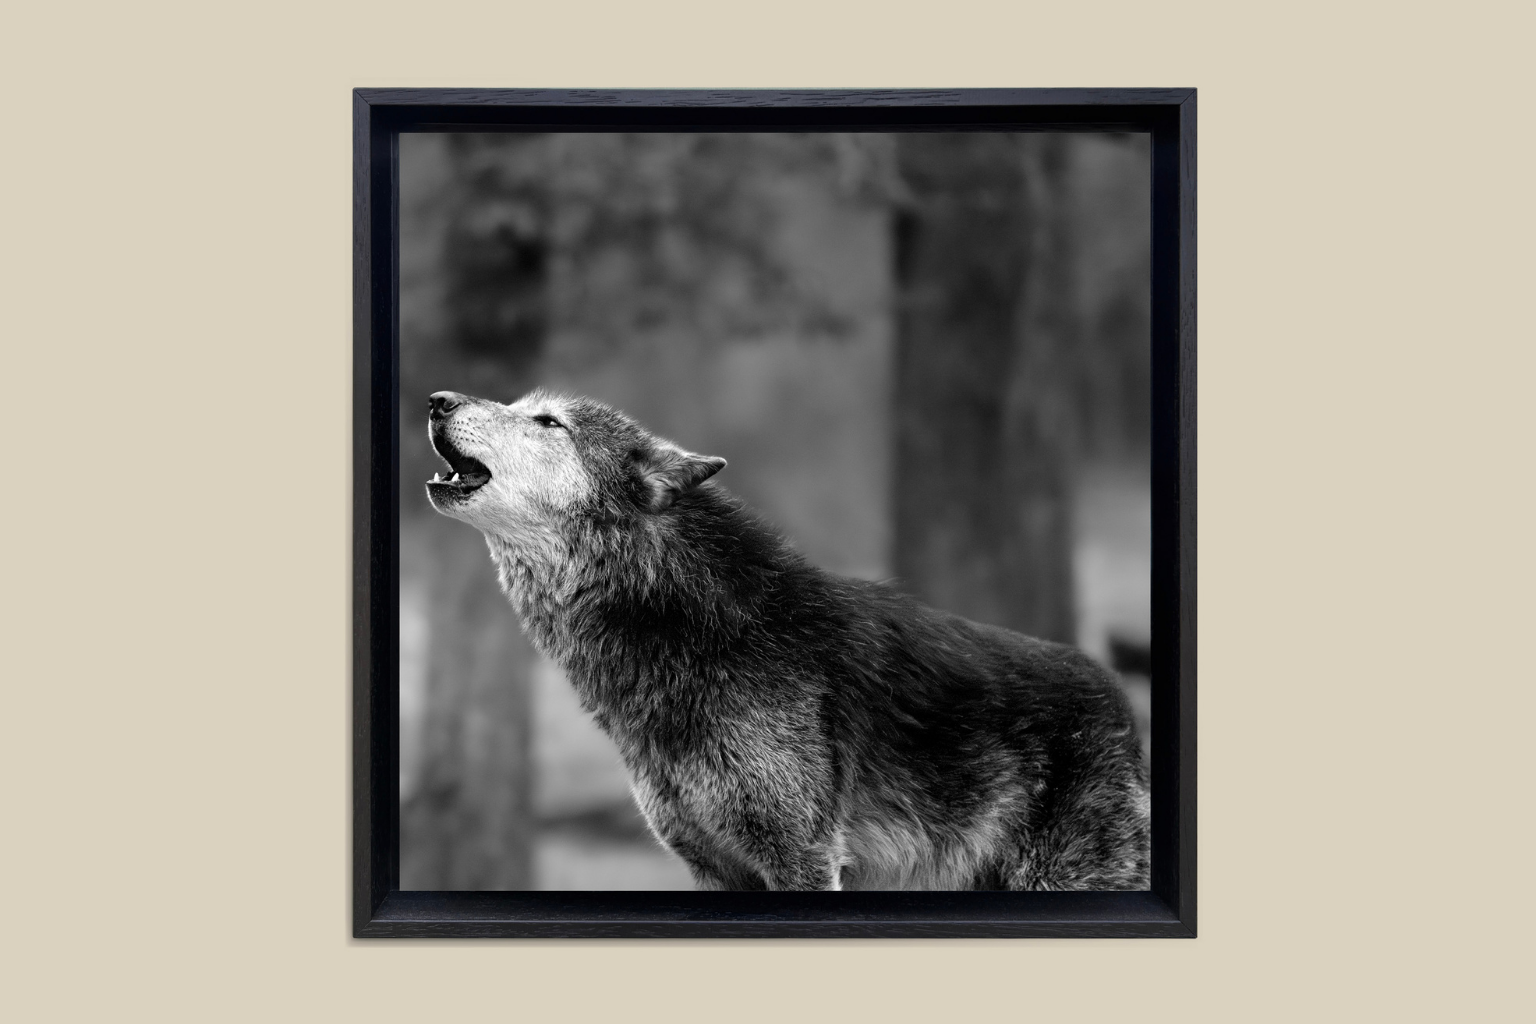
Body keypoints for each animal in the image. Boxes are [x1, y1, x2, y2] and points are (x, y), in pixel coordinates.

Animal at [425, 388, 1150, 891]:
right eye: (521, 407)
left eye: (548, 423)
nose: (437, 399)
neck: (696, 633)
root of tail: (1117, 696)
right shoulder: (714, 867)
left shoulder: (802, 856)